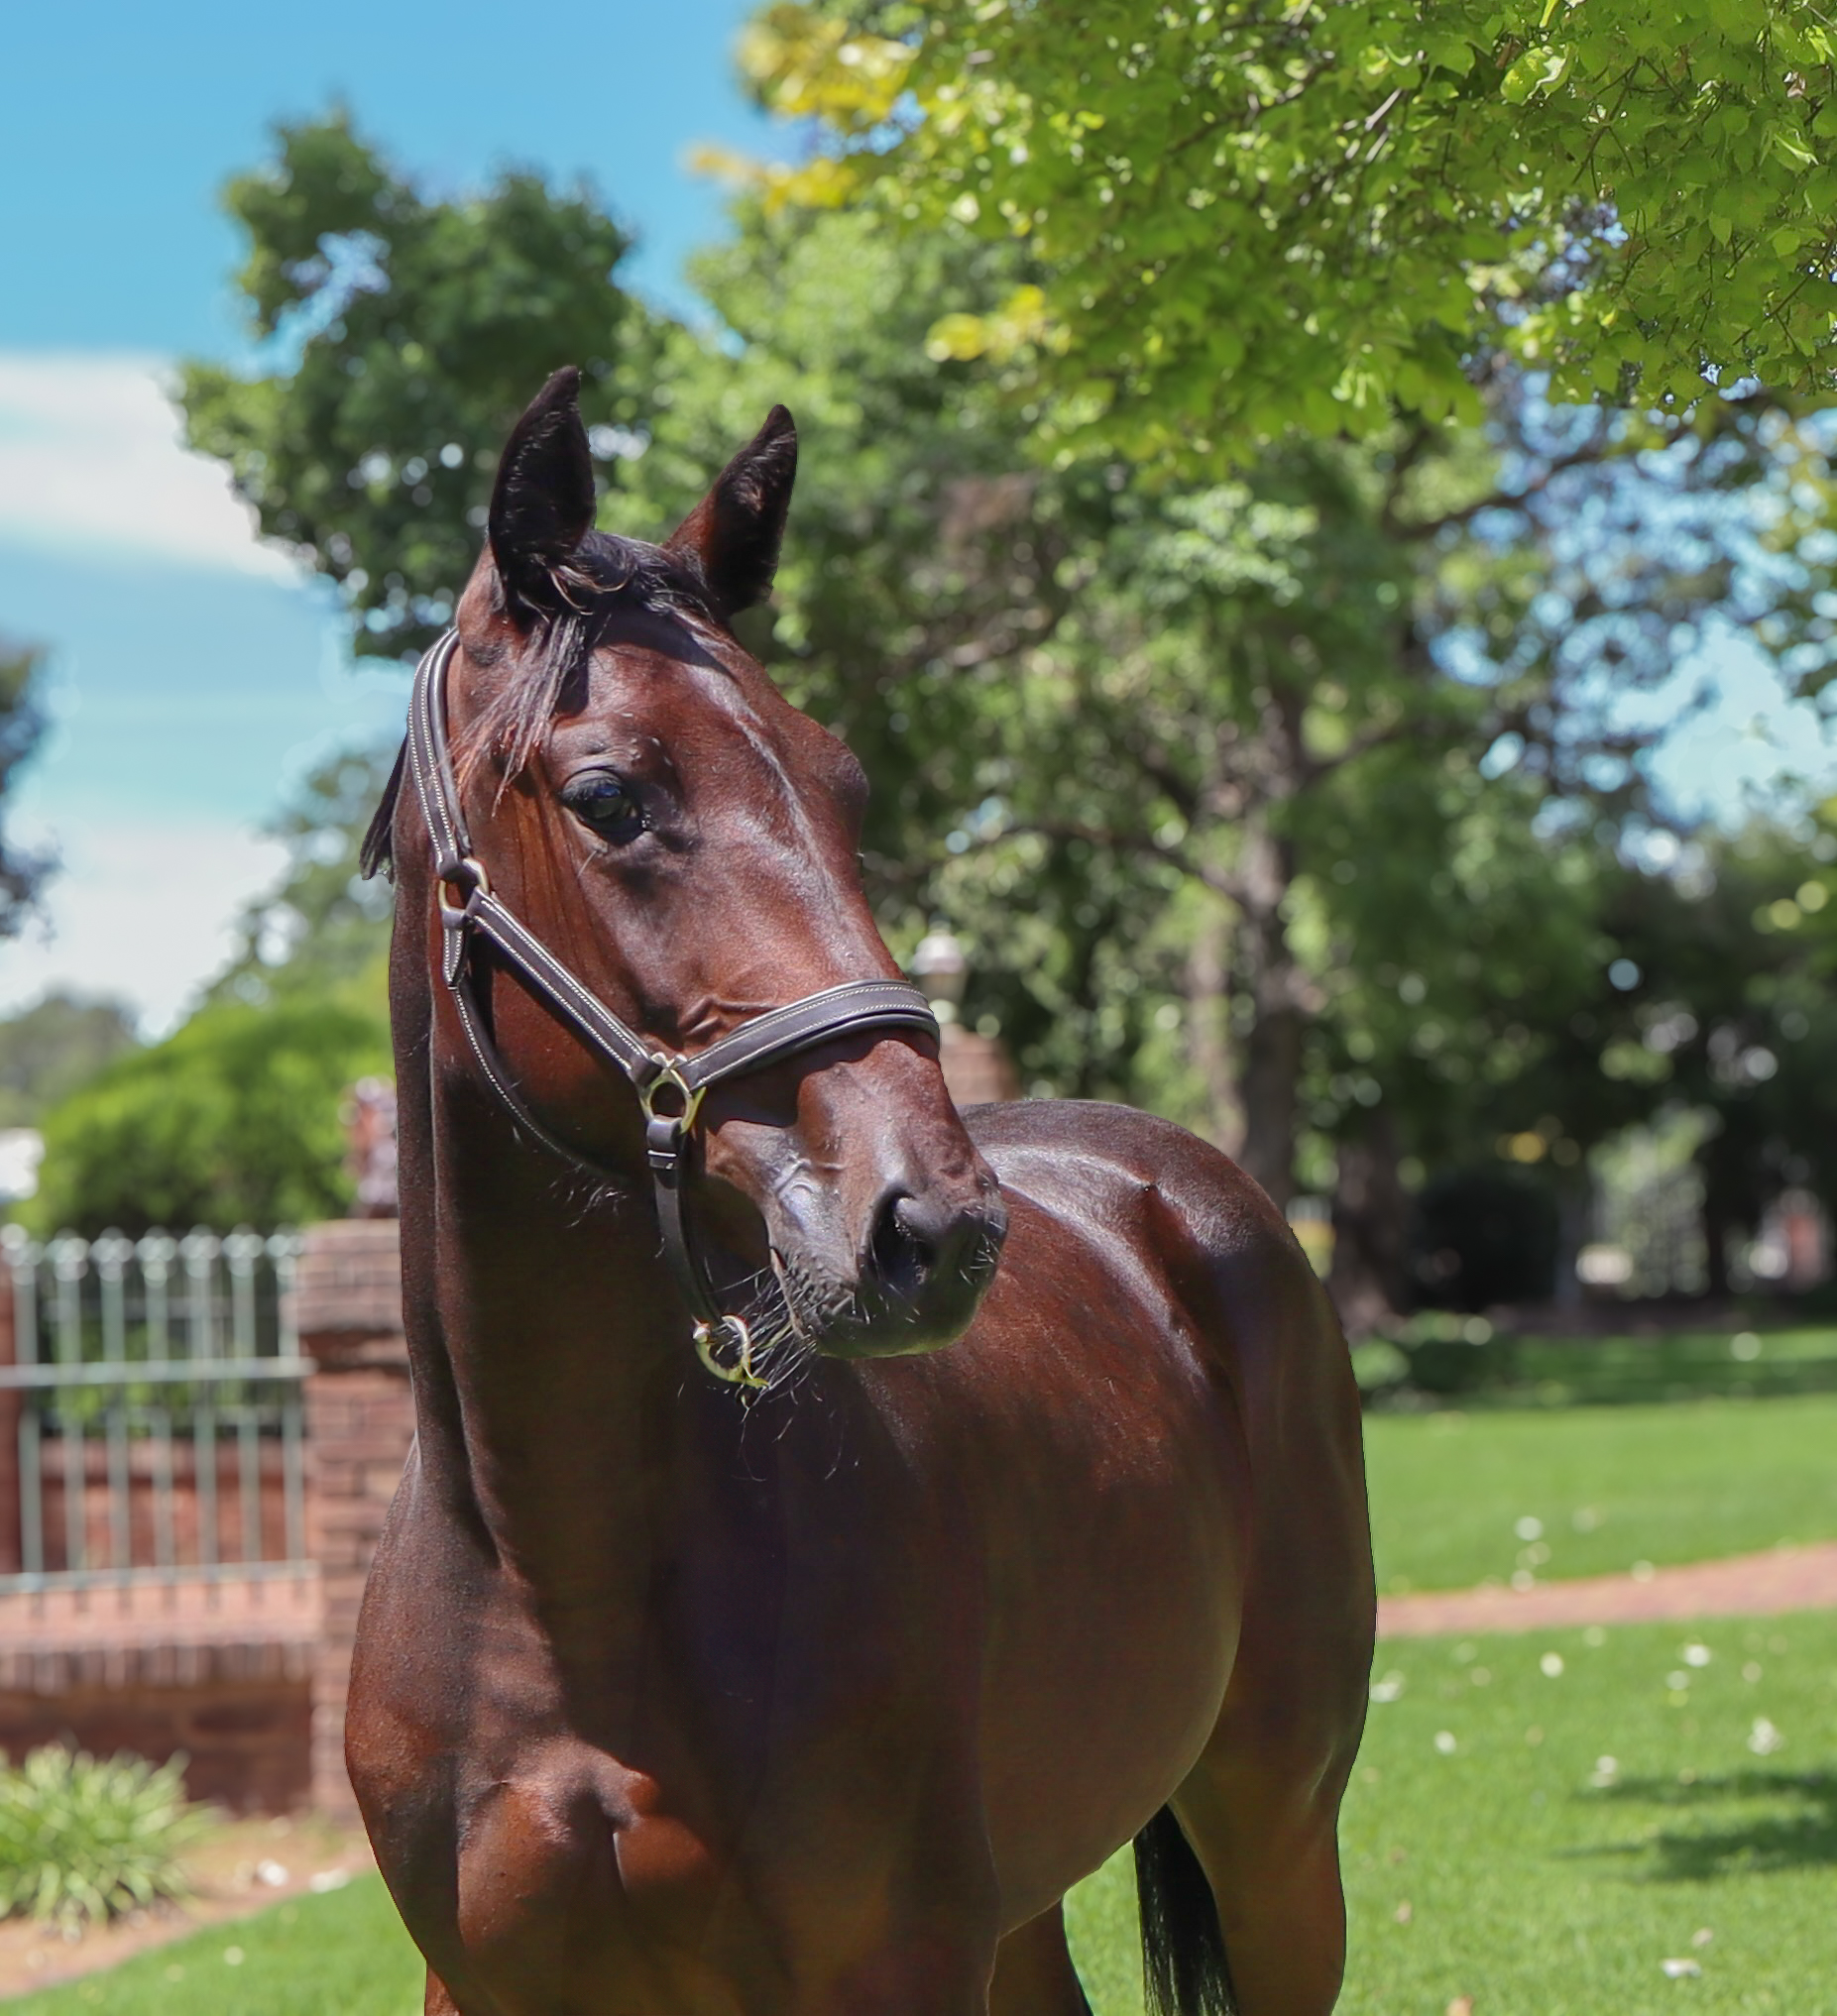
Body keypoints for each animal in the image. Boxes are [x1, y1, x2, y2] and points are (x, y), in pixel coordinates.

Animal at [348, 367, 1375, 2016]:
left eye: (843, 784)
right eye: (607, 794)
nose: (930, 1225)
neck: (550, 1576)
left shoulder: (892, 1960)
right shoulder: (481, 1985)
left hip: (1276, 1838)